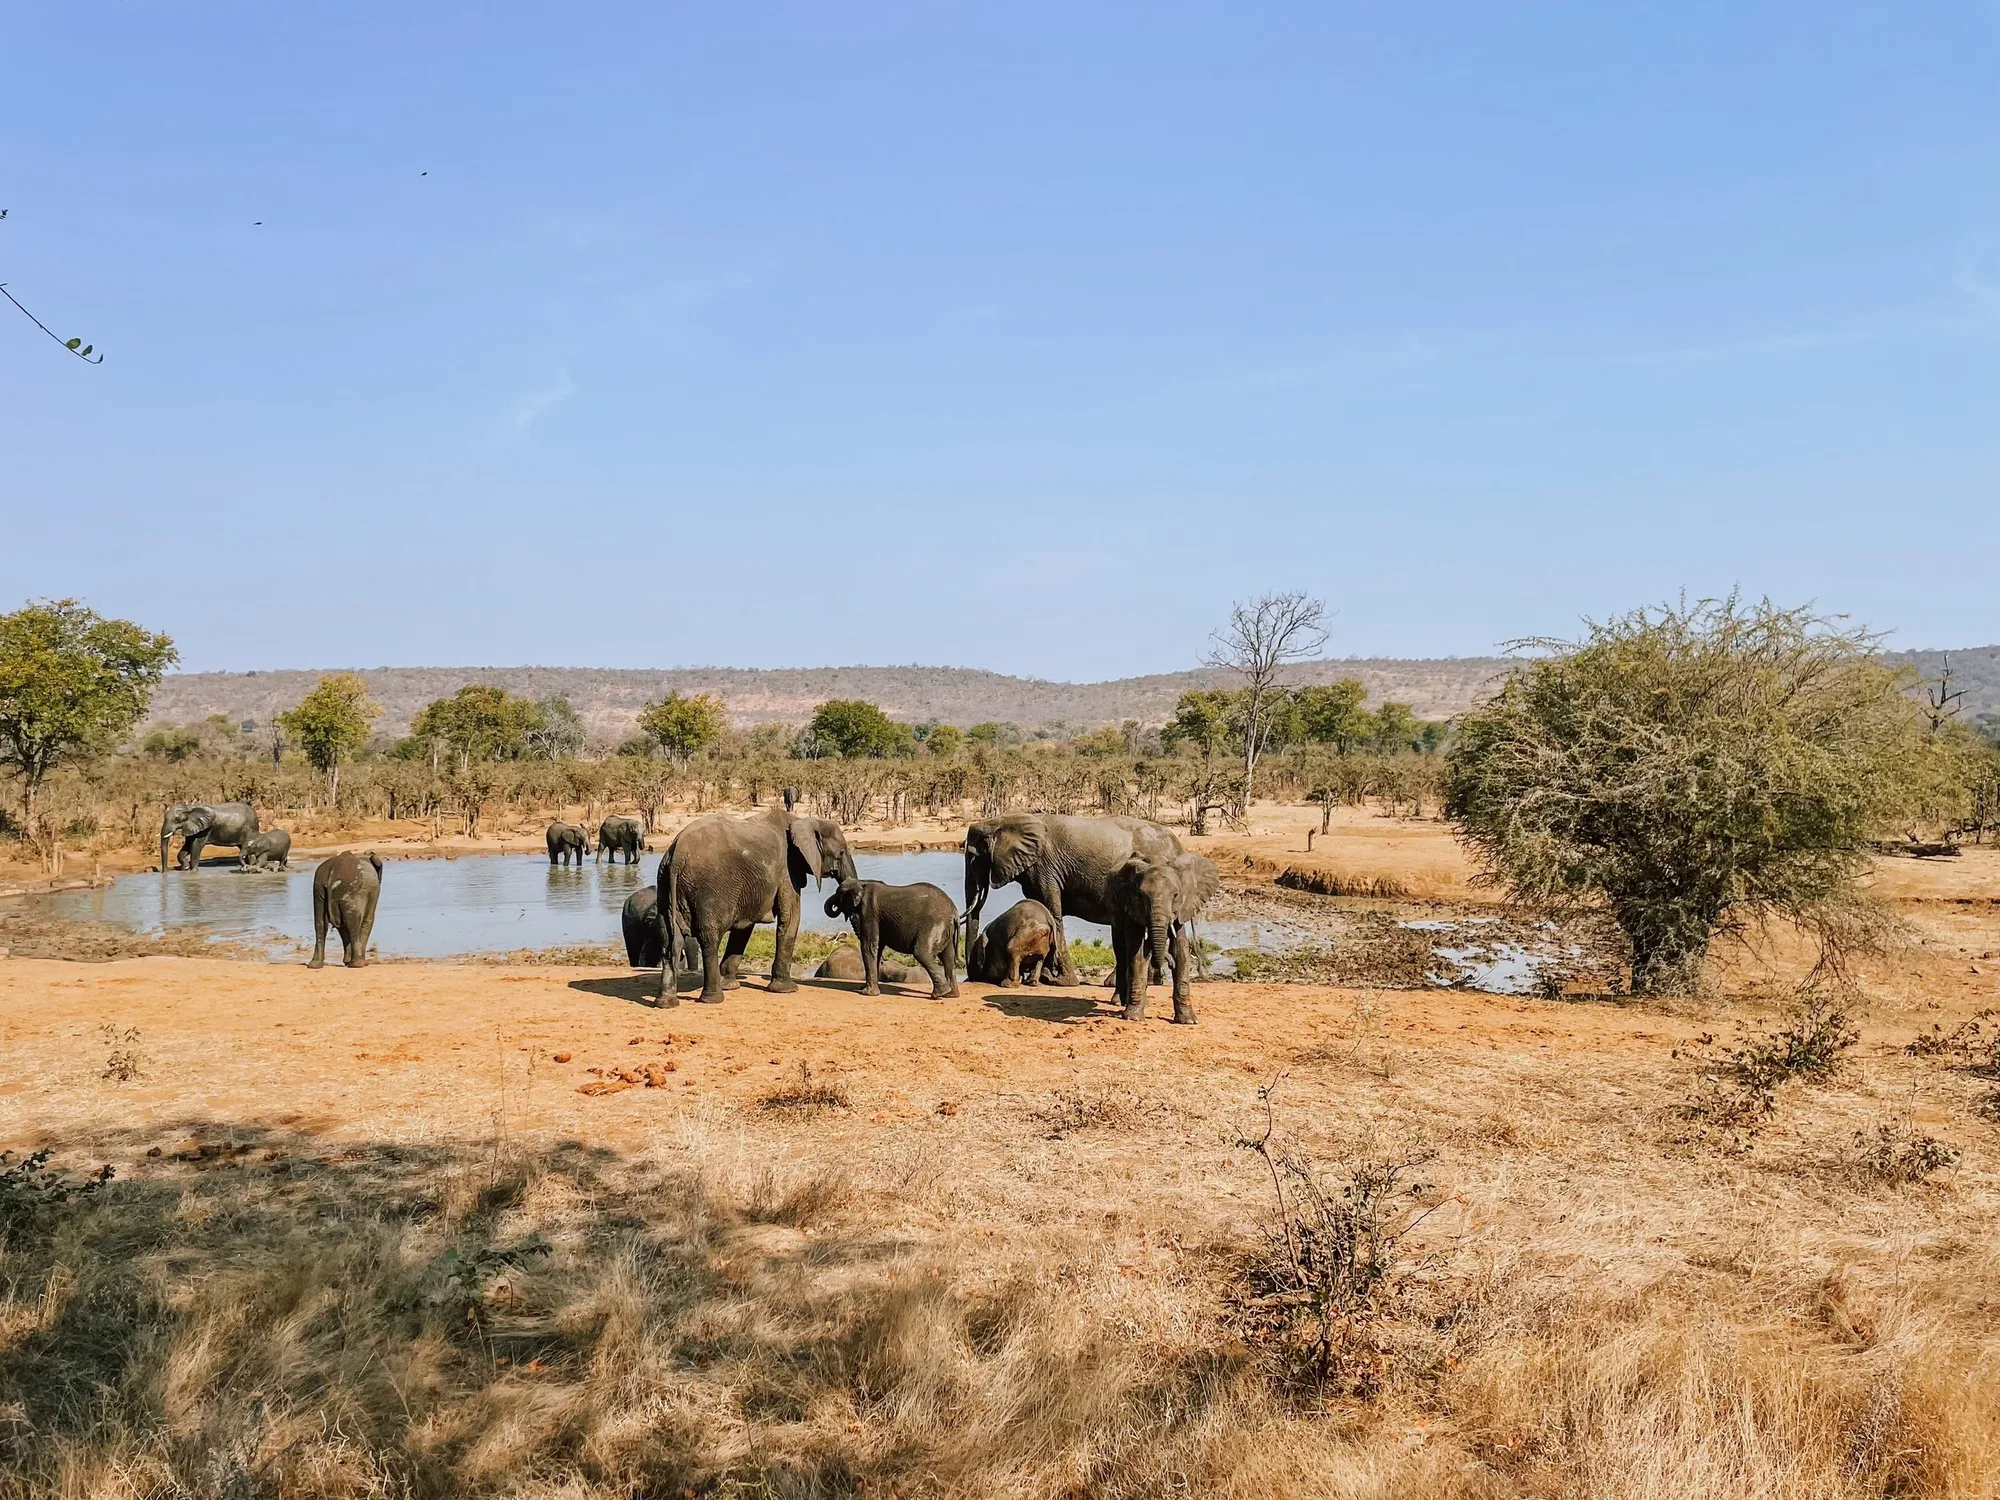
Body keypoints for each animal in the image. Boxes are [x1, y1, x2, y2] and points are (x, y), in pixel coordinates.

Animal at [654, 806, 858, 1004]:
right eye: (841, 852)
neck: (803, 820)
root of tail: (677, 854)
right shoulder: (787, 870)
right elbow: (791, 917)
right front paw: (787, 990)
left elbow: (744, 927)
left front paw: (730, 985)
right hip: (709, 889)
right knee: (709, 939)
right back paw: (713, 999)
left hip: (664, 886)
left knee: (668, 941)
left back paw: (666, 1002)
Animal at [822, 877, 960, 997]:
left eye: (838, 893)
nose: (834, 906)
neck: (862, 882)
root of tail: (954, 912)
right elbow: (877, 947)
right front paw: (864, 988)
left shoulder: (869, 911)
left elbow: (869, 946)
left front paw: (866, 993)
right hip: (945, 929)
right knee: (948, 958)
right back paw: (951, 995)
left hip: (934, 925)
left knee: (922, 953)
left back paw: (939, 994)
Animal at [962, 814, 1182, 986]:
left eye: (972, 857)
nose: (971, 978)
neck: (1005, 819)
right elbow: (1042, 908)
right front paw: (1046, 977)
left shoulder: (1045, 868)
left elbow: (1053, 911)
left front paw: (1060, 981)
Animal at [1106, 852, 1221, 1024]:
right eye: (1141, 896)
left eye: (1175, 895)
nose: (1169, 964)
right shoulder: (1132, 906)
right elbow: (1137, 953)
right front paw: (1133, 1018)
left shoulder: (1183, 908)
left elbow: (1180, 951)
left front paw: (1188, 1021)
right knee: (1121, 950)